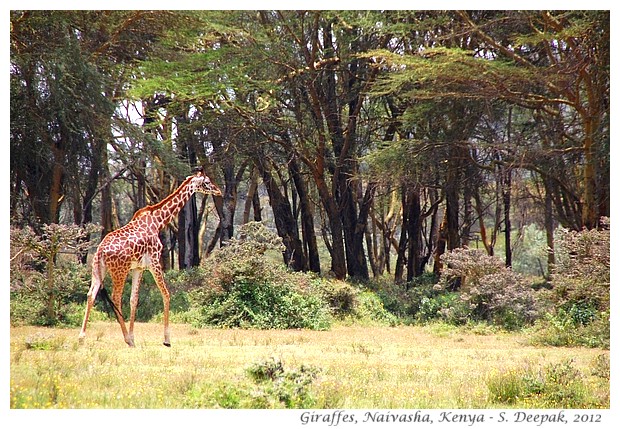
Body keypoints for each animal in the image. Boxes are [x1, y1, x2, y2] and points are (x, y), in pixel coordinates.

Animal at [78, 166, 222, 346]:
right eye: (207, 182)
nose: (219, 191)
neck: (158, 222)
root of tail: (101, 251)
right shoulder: (154, 262)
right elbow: (166, 294)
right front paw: (166, 339)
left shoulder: (138, 268)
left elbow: (134, 299)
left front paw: (134, 337)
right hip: (119, 271)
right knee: (116, 297)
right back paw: (125, 339)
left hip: (98, 269)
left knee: (91, 295)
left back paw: (82, 337)